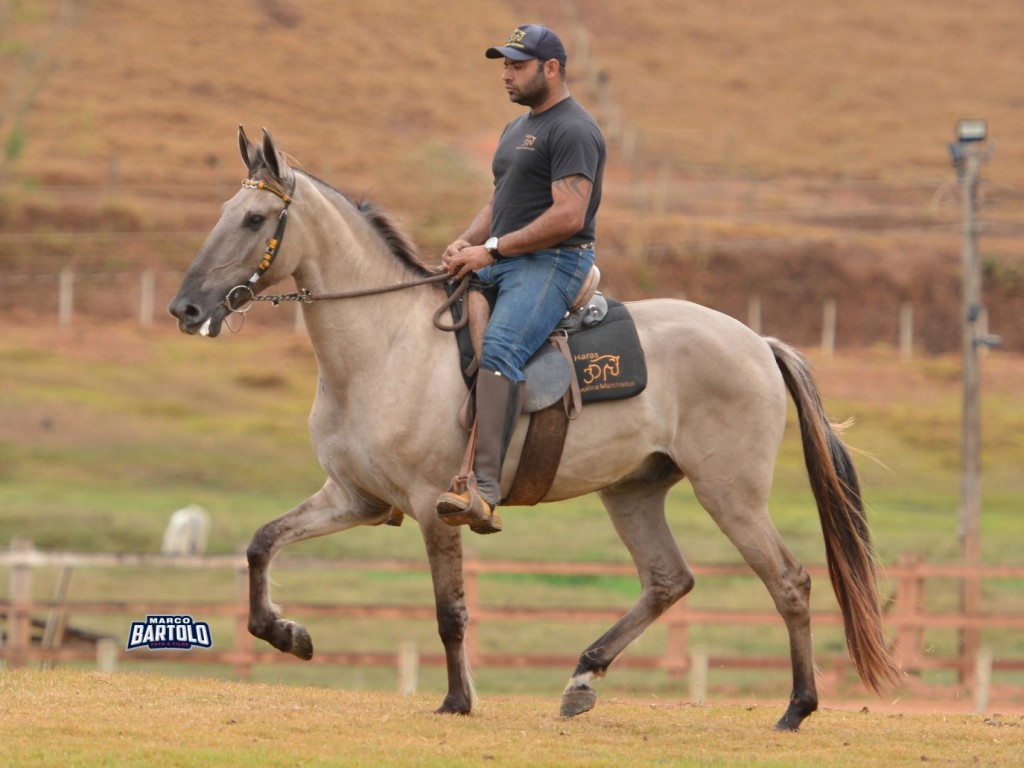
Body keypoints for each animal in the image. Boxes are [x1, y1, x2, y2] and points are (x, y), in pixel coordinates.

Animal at [167, 129, 897, 729]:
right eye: (224, 215)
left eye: (254, 219)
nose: (186, 308)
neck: (387, 344)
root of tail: (757, 342)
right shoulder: (356, 499)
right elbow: (262, 545)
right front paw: (286, 633)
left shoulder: (433, 507)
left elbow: (450, 612)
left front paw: (457, 700)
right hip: (633, 492)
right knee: (668, 581)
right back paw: (582, 678)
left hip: (730, 494)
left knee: (789, 582)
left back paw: (797, 707)